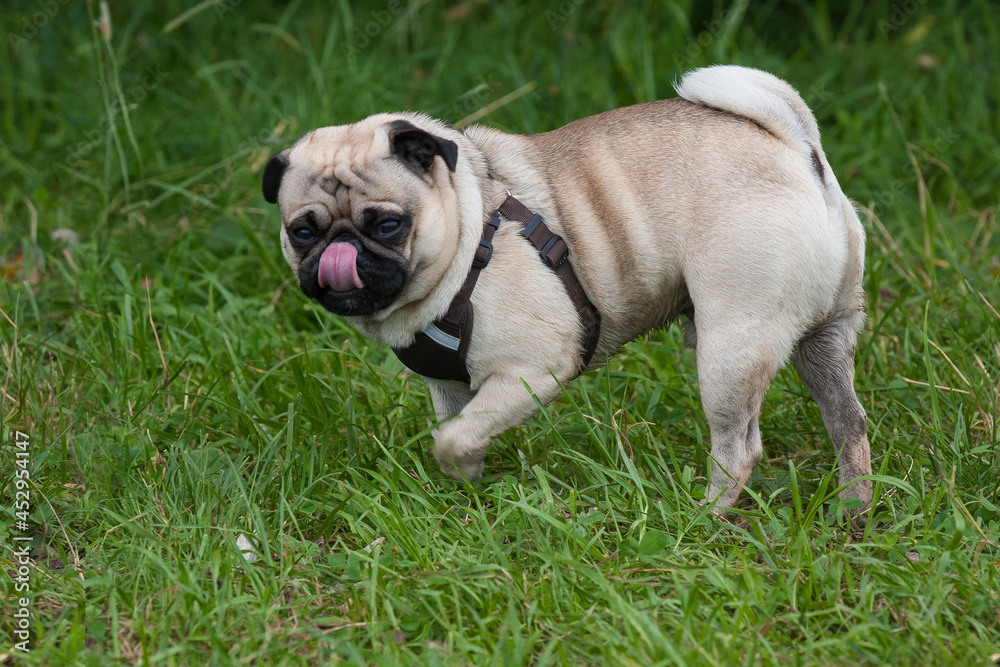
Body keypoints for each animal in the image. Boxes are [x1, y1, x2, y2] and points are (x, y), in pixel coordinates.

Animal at [264, 66, 876, 516]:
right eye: (302, 232)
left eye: (388, 225)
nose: (340, 252)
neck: (469, 226)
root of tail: (796, 149)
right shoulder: (450, 389)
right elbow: (459, 427)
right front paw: (464, 495)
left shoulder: (532, 372)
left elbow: (453, 439)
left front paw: (460, 470)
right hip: (825, 338)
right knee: (848, 424)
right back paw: (852, 512)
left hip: (731, 349)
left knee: (739, 447)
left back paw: (707, 517)